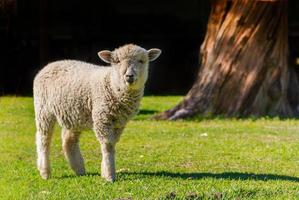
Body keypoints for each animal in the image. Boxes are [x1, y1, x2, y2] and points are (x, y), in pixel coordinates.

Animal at [33, 43, 162, 181]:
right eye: (117, 61)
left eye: (141, 61)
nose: (129, 76)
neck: (112, 83)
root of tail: (50, 65)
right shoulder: (102, 118)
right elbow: (108, 145)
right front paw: (109, 175)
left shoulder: (119, 123)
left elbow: (112, 145)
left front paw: (105, 171)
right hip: (43, 109)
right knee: (43, 139)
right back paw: (45, 172)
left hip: (73, 114)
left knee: (68, 141)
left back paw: (79, 169)